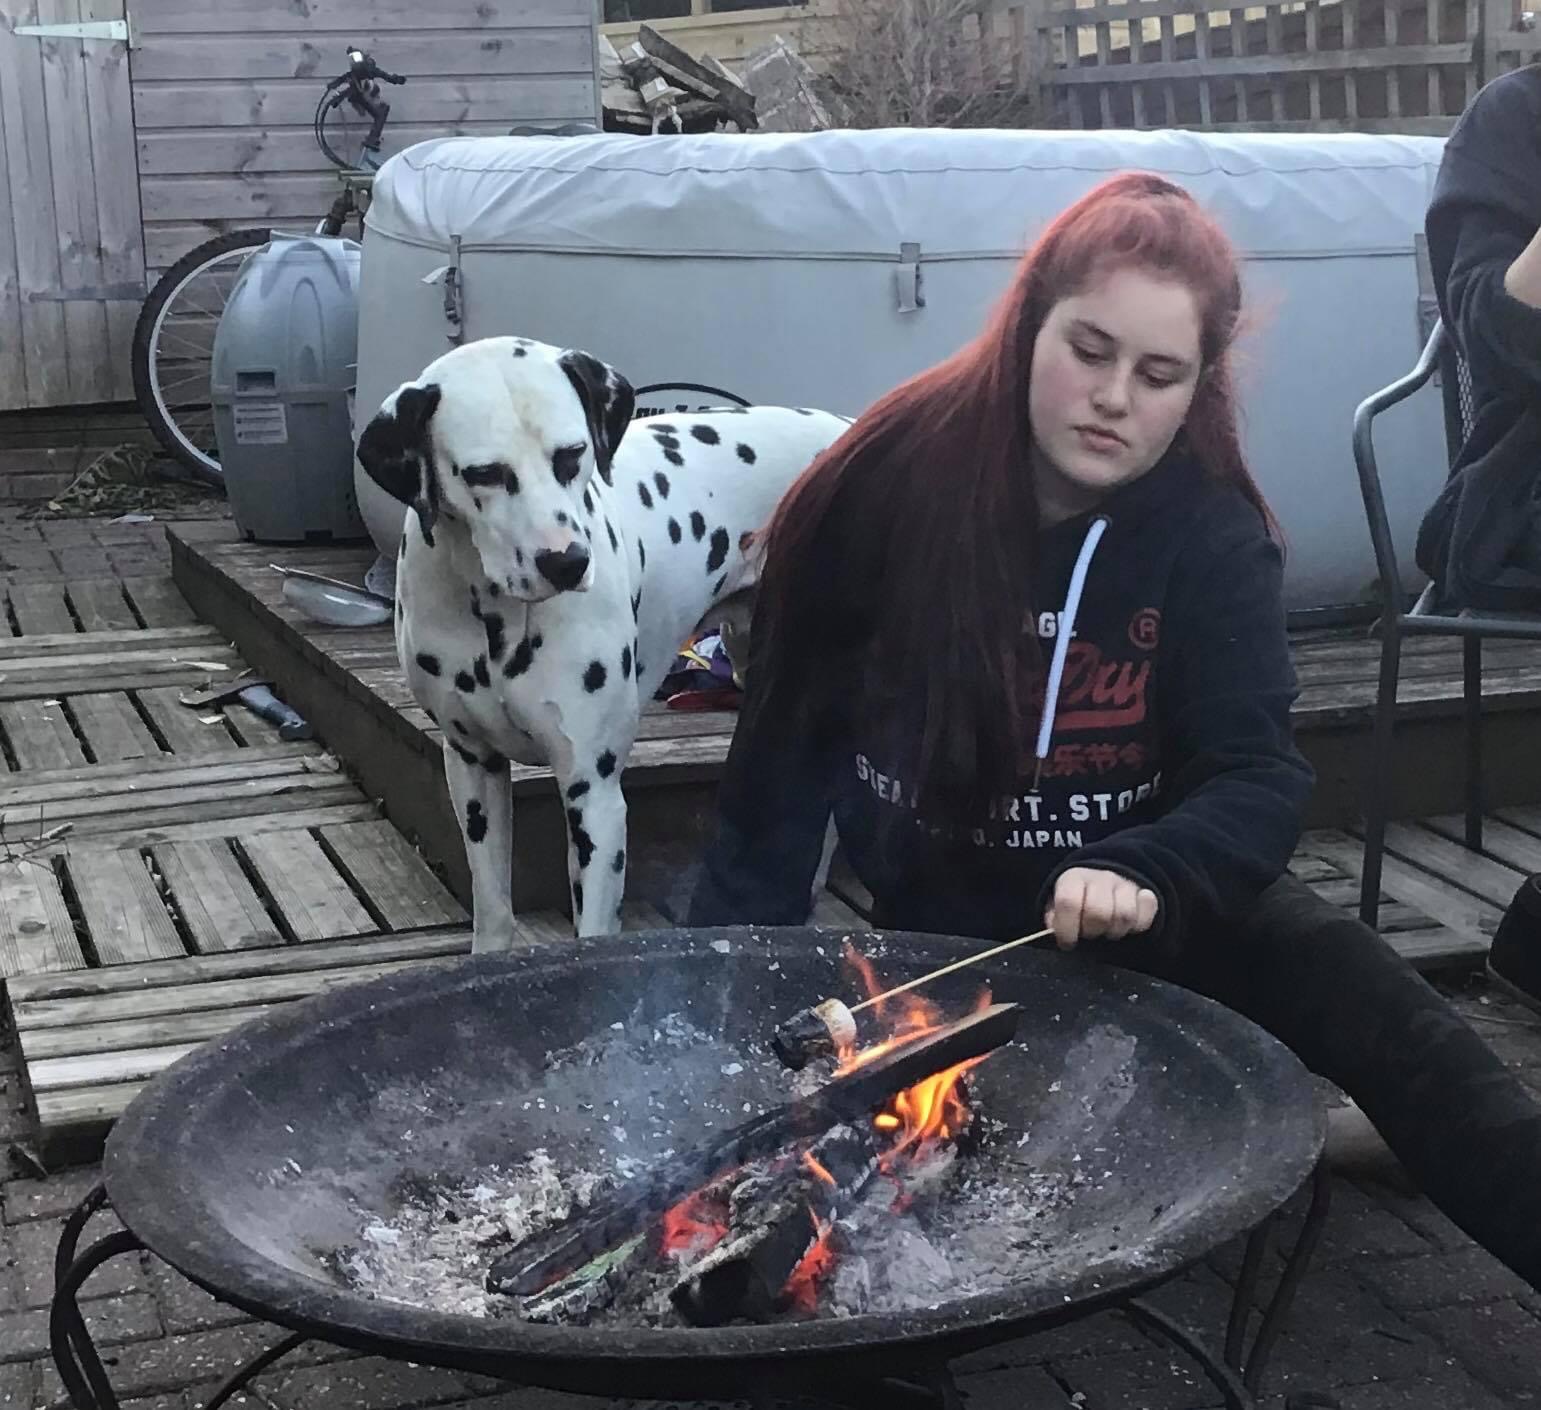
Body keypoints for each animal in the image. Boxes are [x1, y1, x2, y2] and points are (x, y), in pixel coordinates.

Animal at [355, 335, 851, 950]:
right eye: (484, 473)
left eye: (573, 455)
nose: (566, 562)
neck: (498, 618)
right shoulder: (473, 769)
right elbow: (492, 907)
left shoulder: (593, 794)